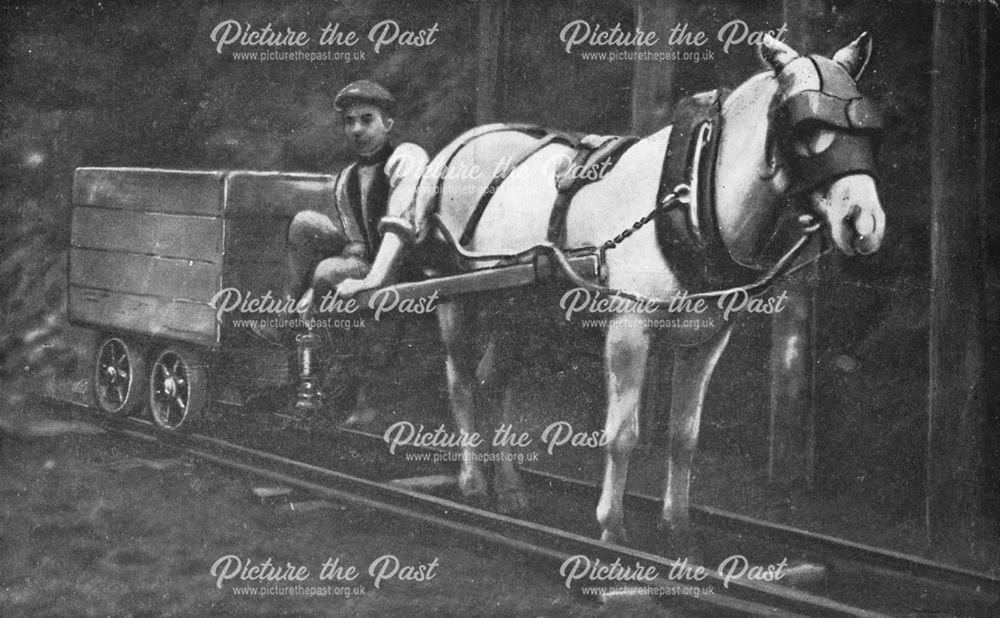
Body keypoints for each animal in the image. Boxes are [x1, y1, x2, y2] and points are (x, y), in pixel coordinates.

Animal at [412, 33, 884, 544]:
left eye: (867, 131)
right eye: (805, 128)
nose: (865, 224)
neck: (693, 193)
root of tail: (463, 141)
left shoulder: (707, 340)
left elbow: (684, 435)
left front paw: (676, 524)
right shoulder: (628, 327)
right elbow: (623, 434)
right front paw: (611, 526)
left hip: (521, 311)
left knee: (493, 380)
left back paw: (511, 491)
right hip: (455, 297)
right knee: (460, 381)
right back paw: (474, 482)